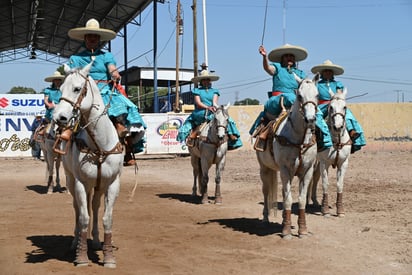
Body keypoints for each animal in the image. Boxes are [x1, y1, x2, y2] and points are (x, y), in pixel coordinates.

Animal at [52, 62, 122, 268]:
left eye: (77, 89)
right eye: (60, 89)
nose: (58, 117)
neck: (99, 145)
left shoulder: (113, 183)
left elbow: (107, 218)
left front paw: (108, 257)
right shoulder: (81, 183)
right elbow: (83, 217)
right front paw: (81, 257)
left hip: (98, 186)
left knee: (95, 207)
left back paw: (97, 241)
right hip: (71, 180)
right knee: (78, 208)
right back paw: (75, 242)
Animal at [256, 75, 320, 239]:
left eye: (317, 95)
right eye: (299, 95)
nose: (310, 119)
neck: (299, 140)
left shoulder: (307, 170)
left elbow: (301, 200)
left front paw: (302, 230)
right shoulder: (285, 170)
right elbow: (288, 199)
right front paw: (286, 231)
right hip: (264, 169)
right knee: (266, 191)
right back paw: (265, 218)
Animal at [308, 88, 350, 218]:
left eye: (345, 107)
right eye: (331, 107)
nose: (338, 126)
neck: (336, 141)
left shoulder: (343, 163)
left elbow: (339, 185)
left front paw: (340, 210)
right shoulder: (324, 163)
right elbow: (325, 184)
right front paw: (325, 210)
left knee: (315, 178)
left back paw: (315, 201)